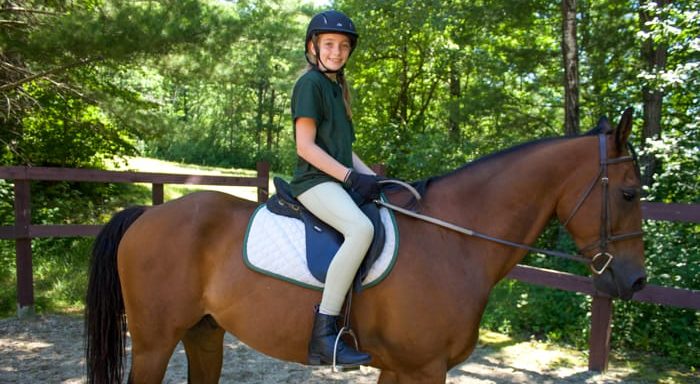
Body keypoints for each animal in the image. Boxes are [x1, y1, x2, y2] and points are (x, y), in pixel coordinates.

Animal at [86, 109, 644, 384]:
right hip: (155, 342)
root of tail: (148, 214)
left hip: (204, 333)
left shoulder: (401, 368)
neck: (453, 240)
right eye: (629, 192)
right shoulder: (424, 369)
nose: (636, 282)